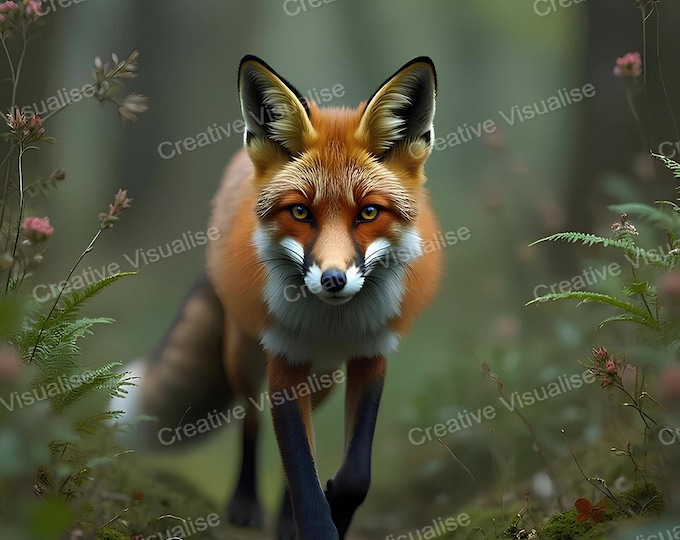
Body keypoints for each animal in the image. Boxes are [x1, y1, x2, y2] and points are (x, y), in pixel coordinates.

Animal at [120, 55, 443, 540]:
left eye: (369, 212)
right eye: (300, 212)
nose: (332, 280)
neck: (333, 324)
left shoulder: (371, 354)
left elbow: (354, 474)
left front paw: (334, 509)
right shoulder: (285, 360)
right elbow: (300, 470)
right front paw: (316, 525)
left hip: (324, 380)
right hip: (241, 354)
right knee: (251, 420)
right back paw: (245, 505)